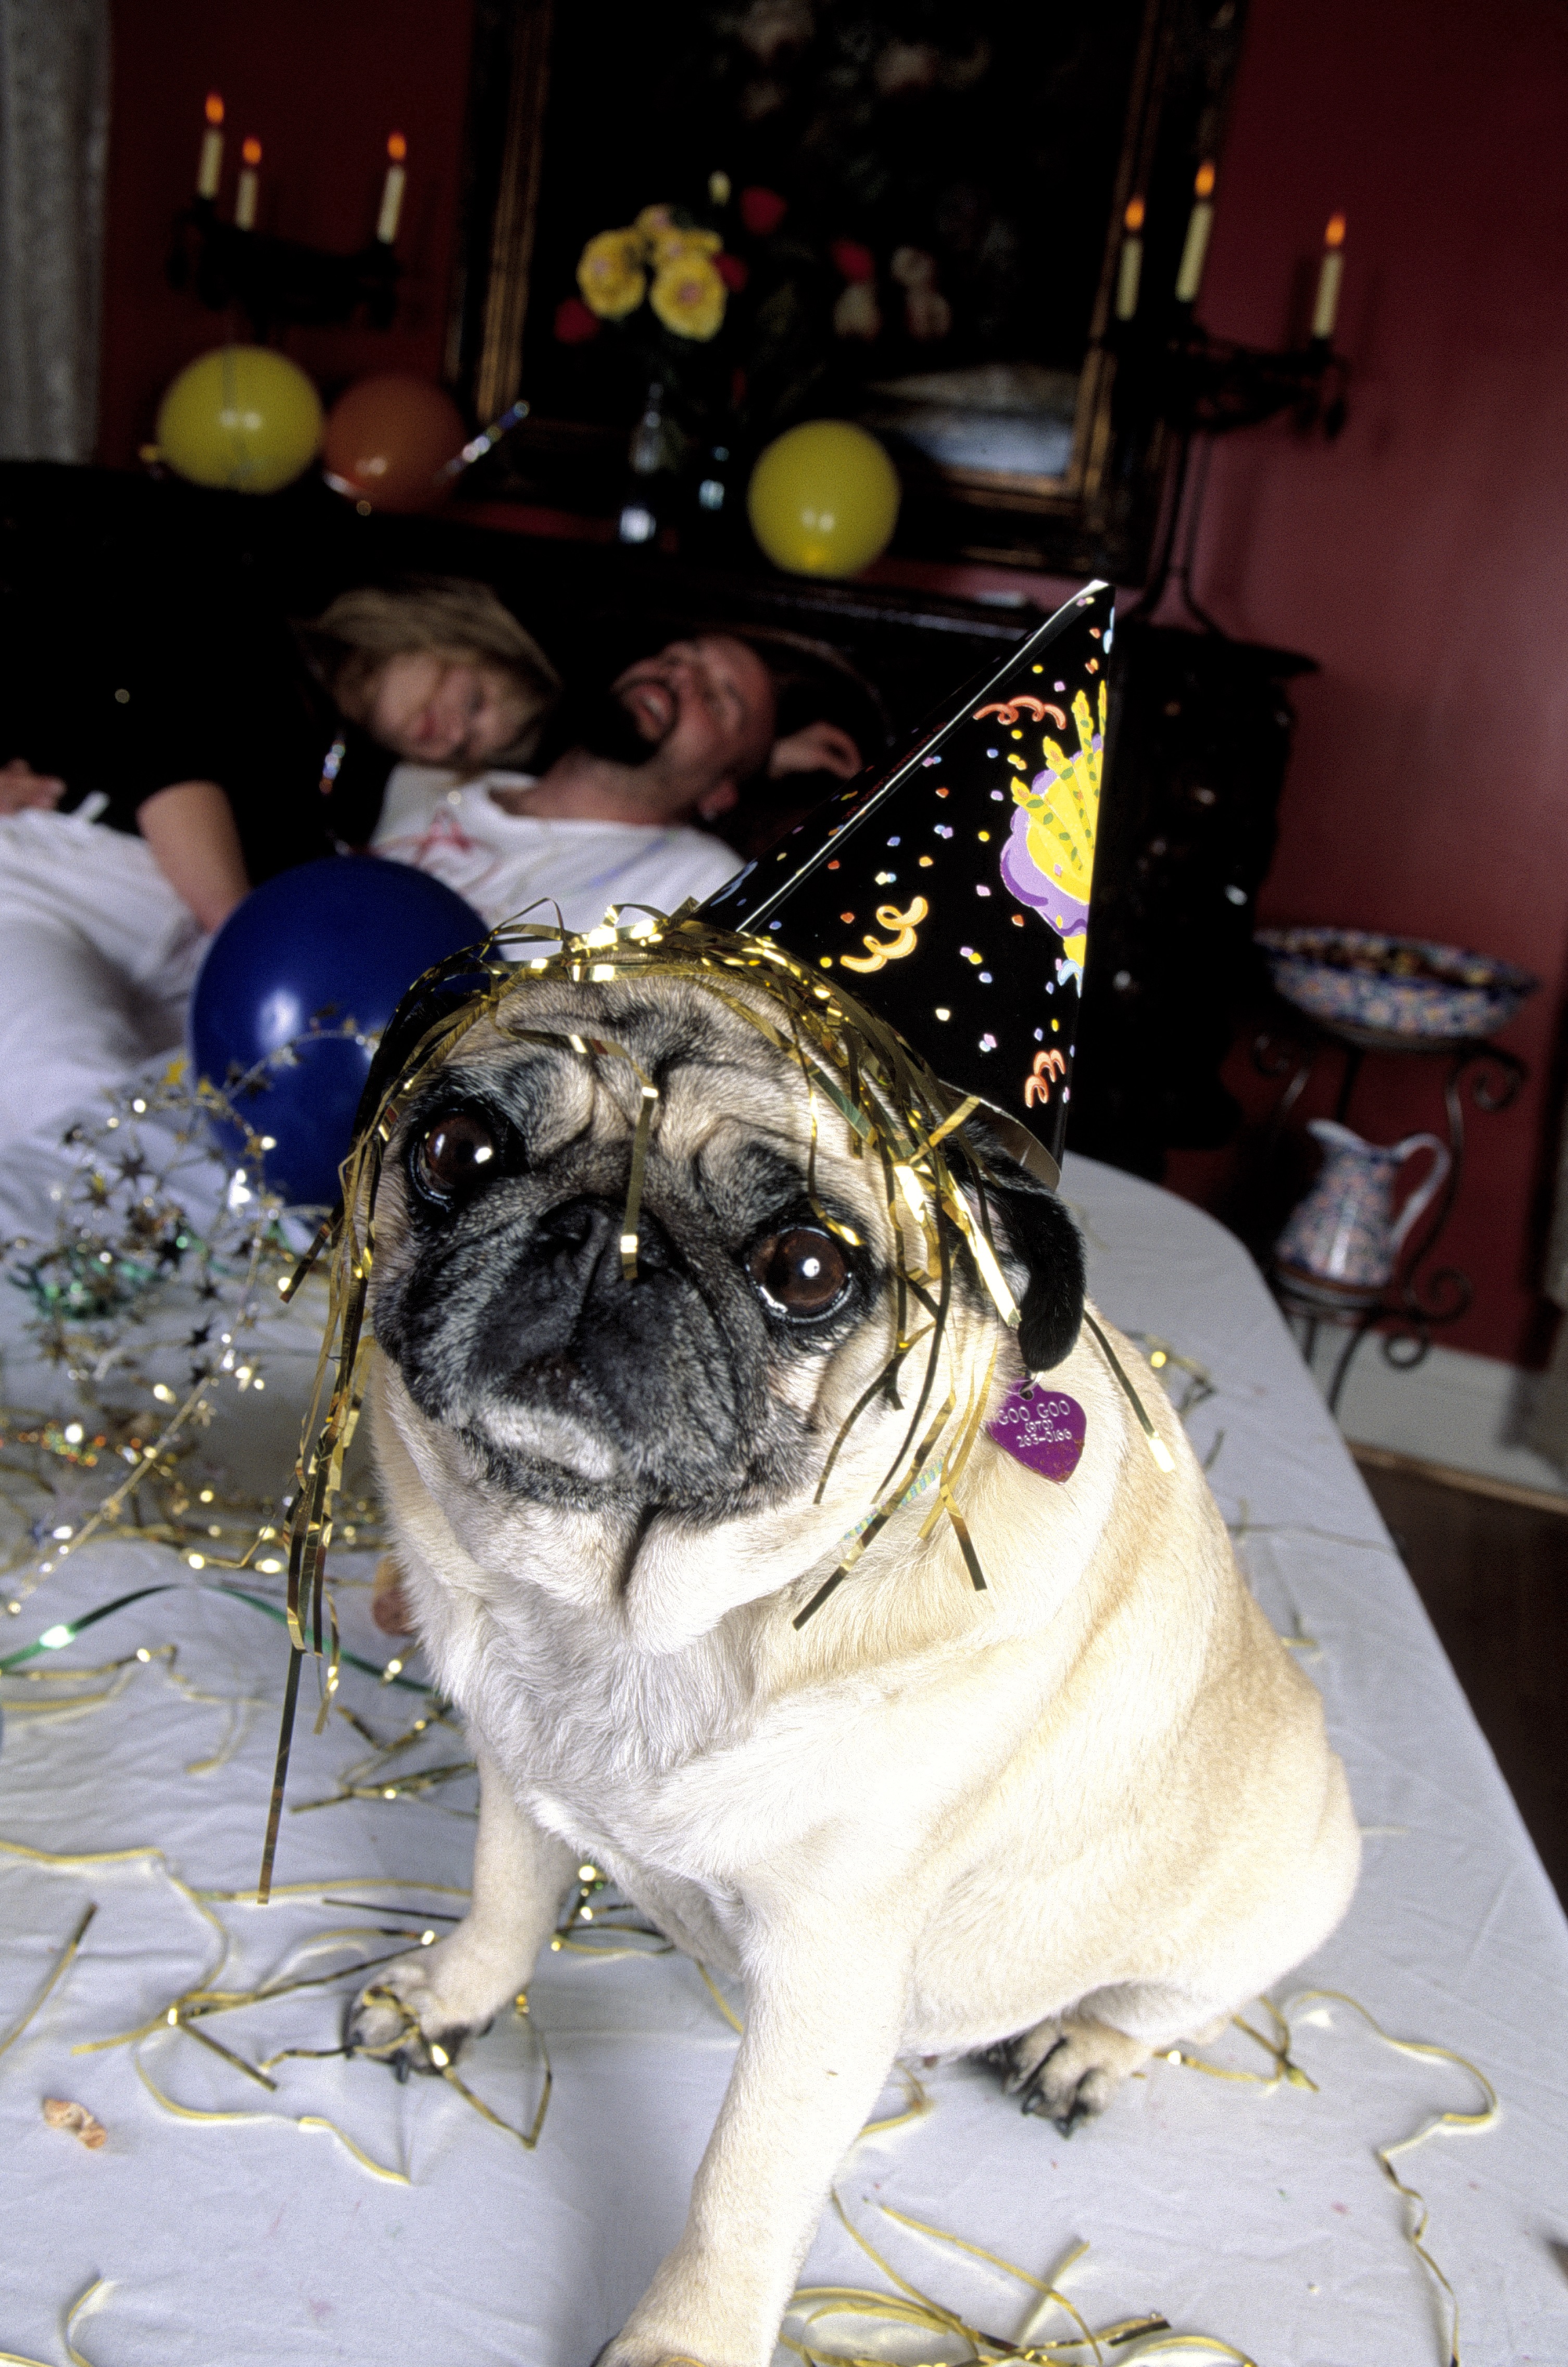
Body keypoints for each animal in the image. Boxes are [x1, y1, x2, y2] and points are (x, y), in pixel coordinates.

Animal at [350, 965, 1352, 2367]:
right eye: (456, 1149)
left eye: (807, 1268)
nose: (601, 1239)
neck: (632, 1616)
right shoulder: (515, 1771)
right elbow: (502, 1896)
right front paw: (452, 1996)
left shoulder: (826, 1978)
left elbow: (740, 2190)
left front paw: (683, 2343)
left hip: (1272, 1901)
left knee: (1164, 2006)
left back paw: (1076, 2047)